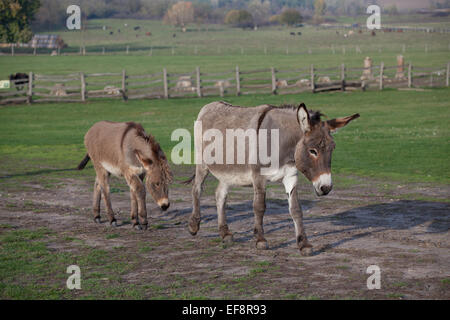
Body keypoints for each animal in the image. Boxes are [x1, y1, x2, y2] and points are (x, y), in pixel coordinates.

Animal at [185, 101, 358, 256]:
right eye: (312, 151)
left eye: (332, 148)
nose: (326, 188)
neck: (282, 144)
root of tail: (210, 105)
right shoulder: (258, 177)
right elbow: (259, 207)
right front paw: (260, 240)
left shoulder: (290, 176)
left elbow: (296, 210)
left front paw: (304, 244)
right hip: (202, 163)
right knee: (196, 189)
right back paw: (194, 225)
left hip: (228, 171)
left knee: (220, 195)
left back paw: (225, 233)